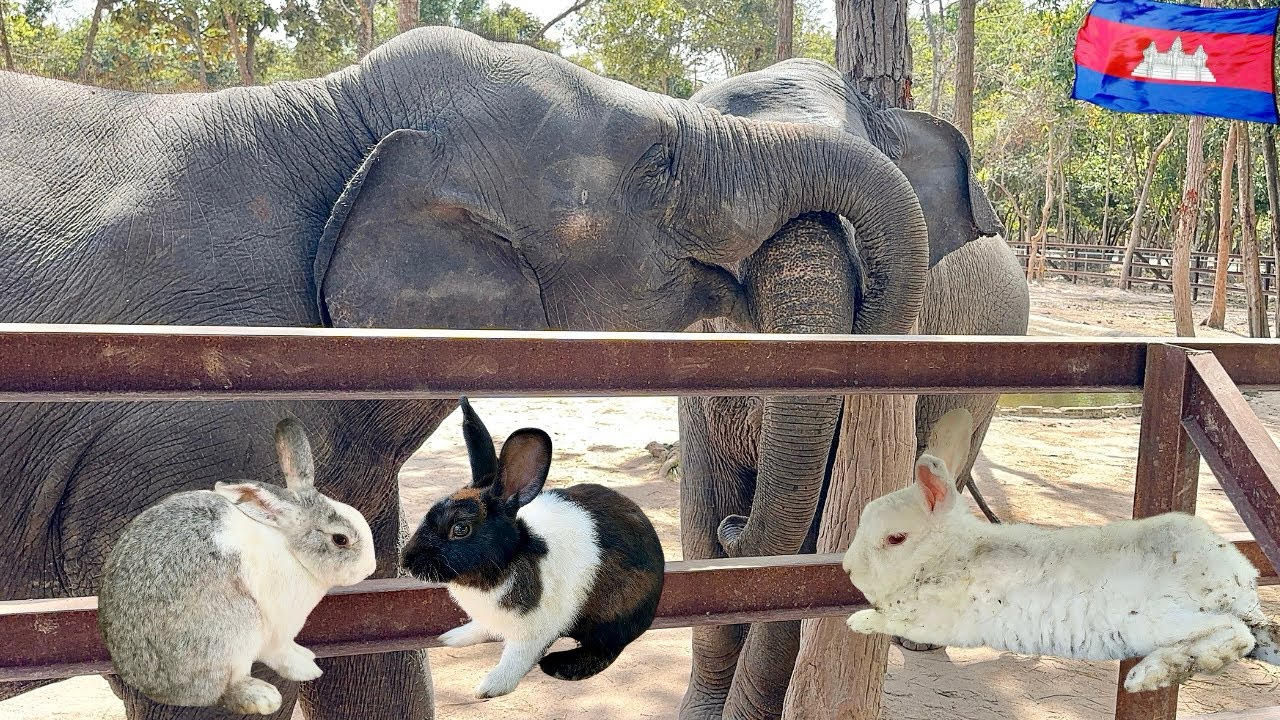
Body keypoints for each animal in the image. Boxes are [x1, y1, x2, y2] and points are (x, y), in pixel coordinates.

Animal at [97, 418, 377, 715]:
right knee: (227, 688)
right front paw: (307, 669)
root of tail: (155, 688)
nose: (370, 568)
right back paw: (263, 697)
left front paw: (307, 655)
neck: (290, 548)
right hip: (238, 629)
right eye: (340, 539)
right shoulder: (278, 631)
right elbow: (282, 655)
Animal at [401, 398, 665, 699]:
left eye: (460, 529)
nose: (406, 560)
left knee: (608, 647)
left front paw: (491, 687)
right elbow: (482, 628)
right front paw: (453, 638)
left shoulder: (532, 633)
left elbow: (515, 658)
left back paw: (559, 666)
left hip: (614, 614)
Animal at [843, 408, 1280, 693]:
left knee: (1235, 636)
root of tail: (1240, 581)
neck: (951, 556)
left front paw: (857, 621)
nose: (848, 569)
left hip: (1162, 619)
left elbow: (890, 619)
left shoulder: (932, 618)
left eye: (895, 539)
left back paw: (1146, 677)